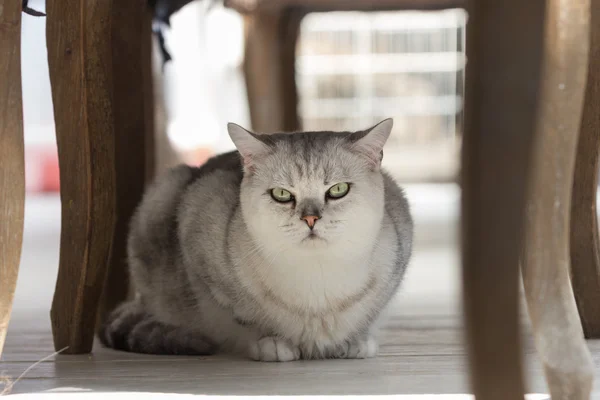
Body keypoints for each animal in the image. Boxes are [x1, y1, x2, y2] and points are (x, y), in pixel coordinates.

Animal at [101, 118, 414, 360]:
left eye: (338, 190)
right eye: (282, 194)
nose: (310, 219)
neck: (317, 274)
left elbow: (369, 312)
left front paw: (355, 339)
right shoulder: (200, 243)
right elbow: (246, 316)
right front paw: (272, 342)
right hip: (160, 196)